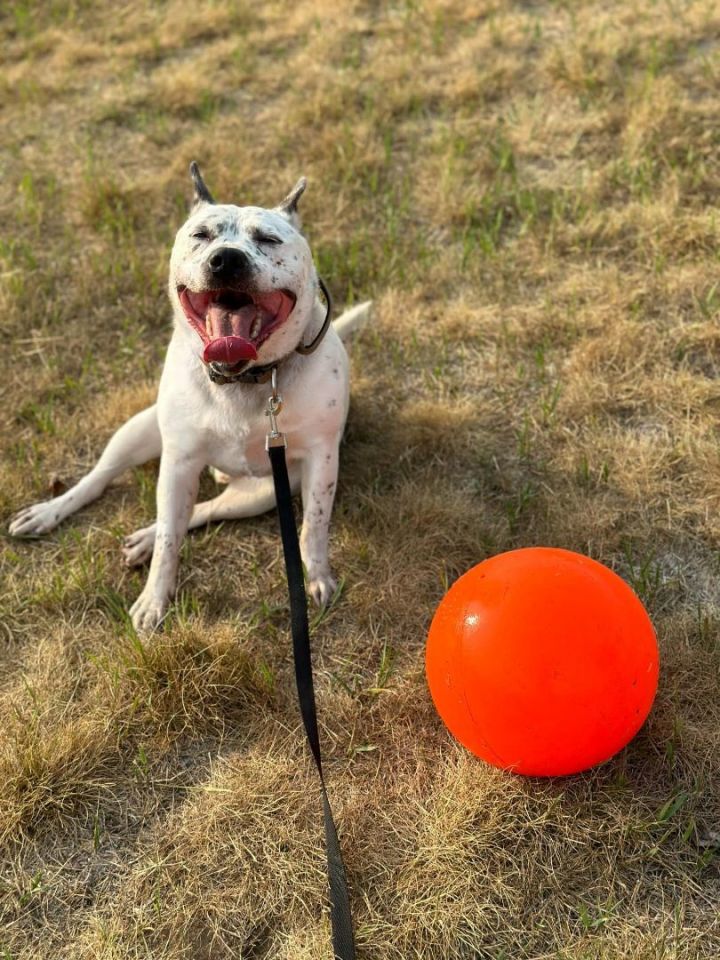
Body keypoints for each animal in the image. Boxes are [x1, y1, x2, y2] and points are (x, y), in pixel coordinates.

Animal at [9, 161, 372, 632]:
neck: (245, 380)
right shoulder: (178, 461)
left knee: (203, 509)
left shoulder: (320, 461)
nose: (227, 258)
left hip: (261, 492)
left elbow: (314, 526)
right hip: (140, 431)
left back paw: (144, 537)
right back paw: (51, 511)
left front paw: (318, 577)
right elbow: (170, 540)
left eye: (268, 239)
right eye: (201, 235)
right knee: (105, 482)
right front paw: (154, 600)